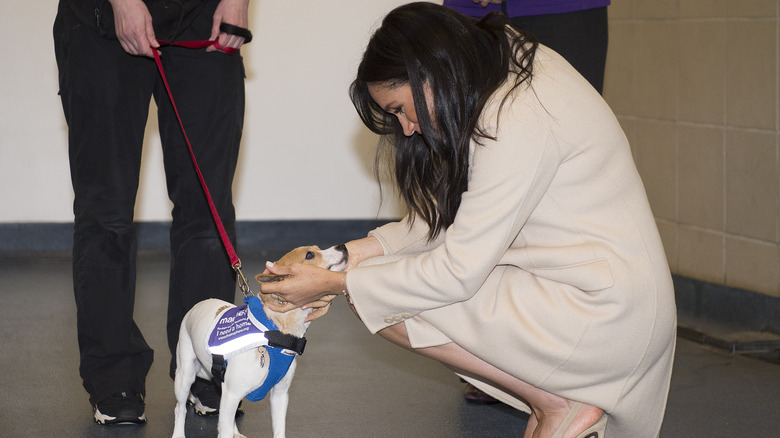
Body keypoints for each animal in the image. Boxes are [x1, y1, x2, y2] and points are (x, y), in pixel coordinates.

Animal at [177, 245, 350, 438]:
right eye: (310, 255)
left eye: (317, 249)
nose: (342, 246)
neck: (272, 333)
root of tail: (197, 305)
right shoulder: (232, 394)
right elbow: (223, 428)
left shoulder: (279, 395)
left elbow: (279, 431)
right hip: (185, 375)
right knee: (180, 408)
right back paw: (178, 432)